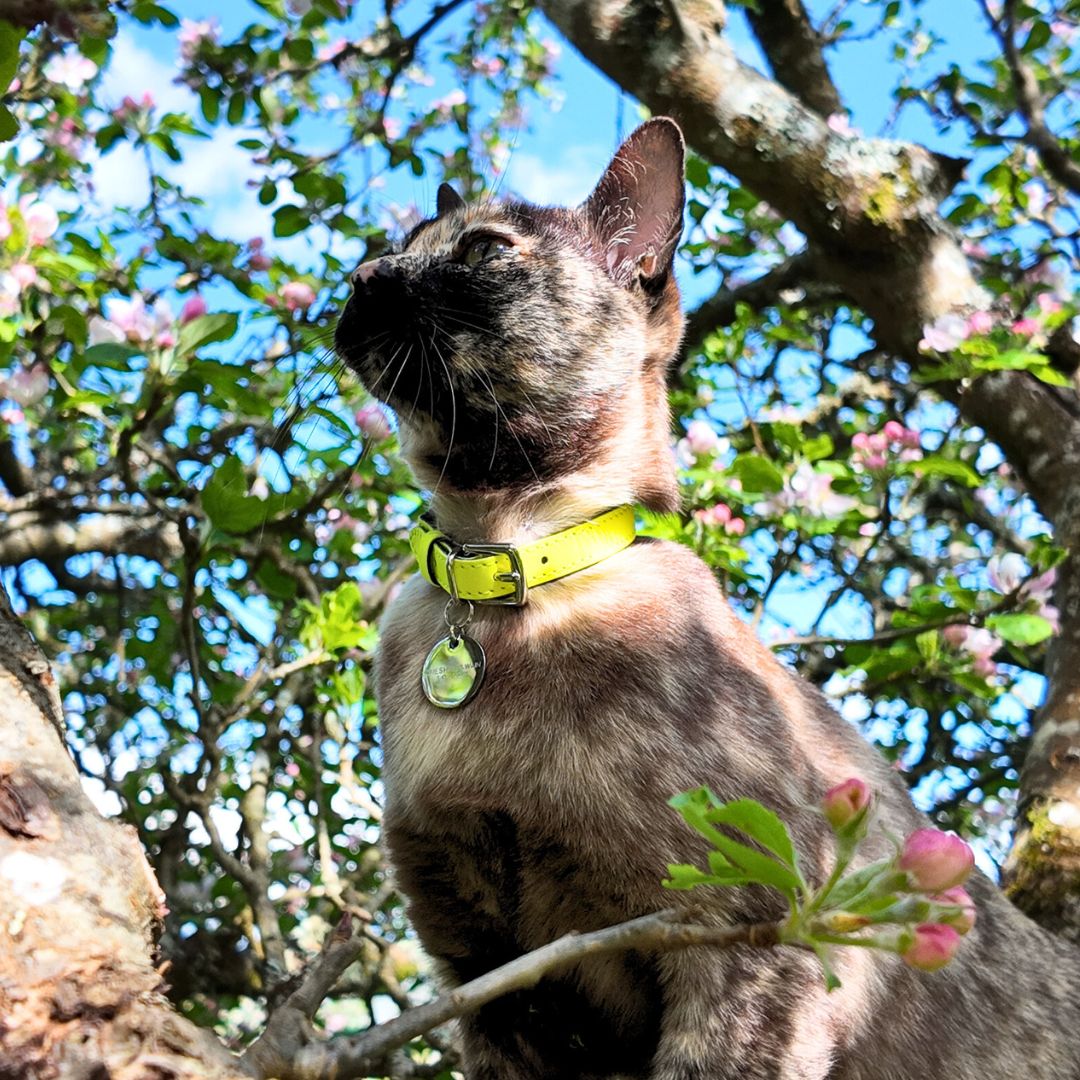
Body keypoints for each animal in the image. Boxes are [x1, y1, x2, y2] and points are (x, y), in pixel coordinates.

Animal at [336, 113, 1080, 1075]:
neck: (502, 570)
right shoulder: (491, 976)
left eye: (483, 250)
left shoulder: (737, 947)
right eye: (398, 246)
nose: (362, 278)